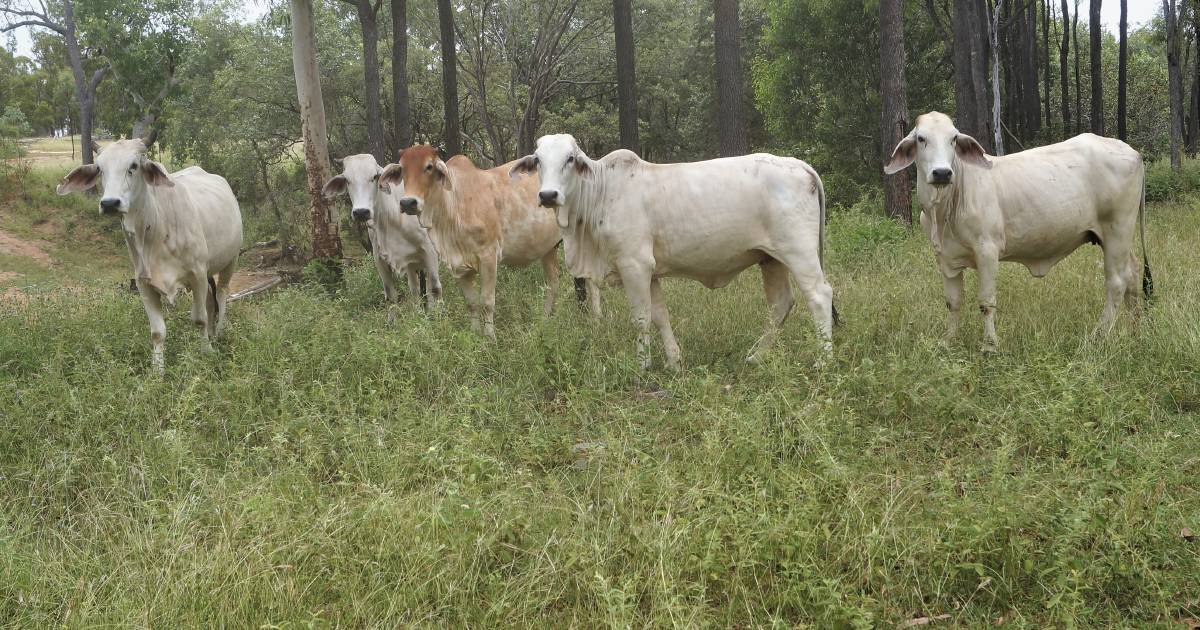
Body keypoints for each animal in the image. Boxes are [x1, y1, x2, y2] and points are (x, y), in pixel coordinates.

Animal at [57, 132, 242, 369]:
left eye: (133, 165)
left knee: (221, 294)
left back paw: (218, 332)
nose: (109, 203)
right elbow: (157, 332)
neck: (155, 226)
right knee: (211, 300)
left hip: (231, 260)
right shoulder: (144, 283)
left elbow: (199, 319)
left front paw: (206, 352)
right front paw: (157, 370)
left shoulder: (197, 274)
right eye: (100, 169)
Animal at [508, 132, 835, 369]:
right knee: (780, 304)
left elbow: (641, 317)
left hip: (798, 252)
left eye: (570, 158)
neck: (600, 194)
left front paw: (642, 365)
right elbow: (659, 315)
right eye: (538, 160)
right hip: (770, 259)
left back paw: (823, 362)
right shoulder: (651, 272)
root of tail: (800, 165)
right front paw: (674, 361)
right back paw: (756, 356)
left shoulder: (634, 265)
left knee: (819, 296)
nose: (548, 195)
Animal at [888, 110, 1147, 350]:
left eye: (953, 138)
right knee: (1133, 273)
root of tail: (1134, 153)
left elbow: (986, 301)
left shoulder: (987, 250)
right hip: (1117, 238)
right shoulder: (945, 258)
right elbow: (953, 302)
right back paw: (1135, 331)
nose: (942, 173)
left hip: (1117, 231)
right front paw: (947, 342)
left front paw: (989, 345)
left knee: (1116, 282)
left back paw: (1098, 336)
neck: (944, 210)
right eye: (921, 138)